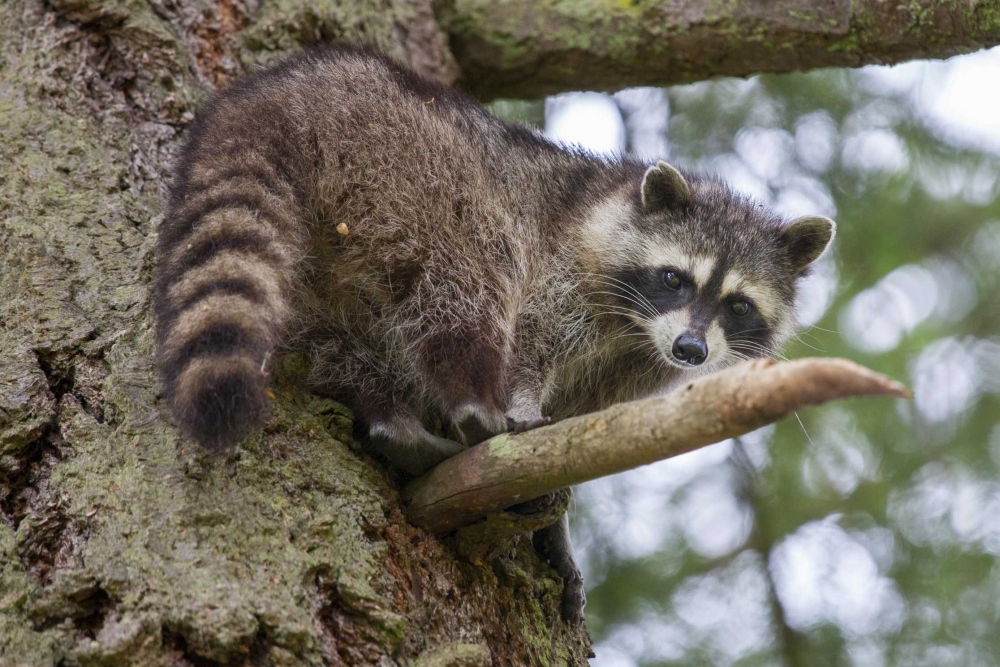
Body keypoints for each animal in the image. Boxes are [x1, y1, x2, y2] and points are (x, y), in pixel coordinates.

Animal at [154, 47, 836, 628]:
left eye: (737, 305)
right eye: (674, 278)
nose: (691, 351)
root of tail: (283, 96)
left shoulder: (632, 363)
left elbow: (581, 424)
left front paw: (556, 530)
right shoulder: (560, 266)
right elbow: (529, 336)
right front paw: (518, 405)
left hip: (326, 243)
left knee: (330, 337)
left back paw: (384, 413)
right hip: (410, 170)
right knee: (469, 277)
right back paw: (471, 400)